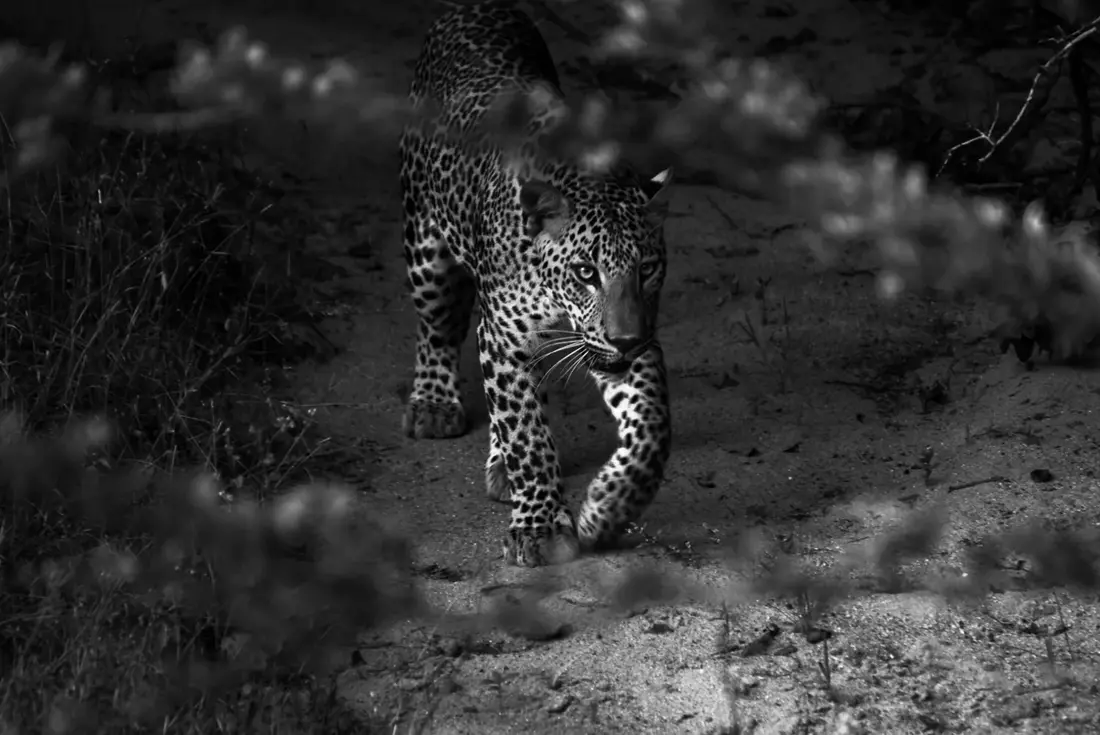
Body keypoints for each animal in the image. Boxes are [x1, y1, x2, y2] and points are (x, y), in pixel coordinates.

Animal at [399, 0, 674, 567]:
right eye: (586, 272)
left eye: (646, 269)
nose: (626, 339)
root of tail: (475, 5)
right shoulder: (502, 337)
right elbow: (525, 432)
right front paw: (541, 526)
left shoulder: (630, 342)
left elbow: (652, 428)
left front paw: (606, 507)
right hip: (425, 246)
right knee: (437, 329)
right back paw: (434, 405)